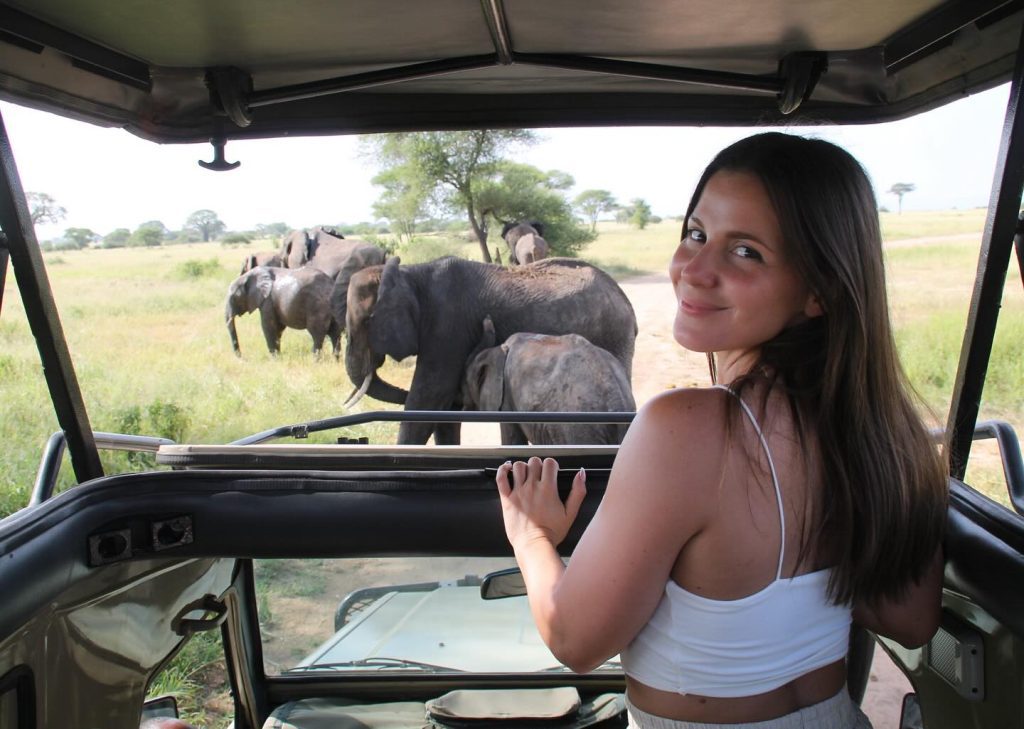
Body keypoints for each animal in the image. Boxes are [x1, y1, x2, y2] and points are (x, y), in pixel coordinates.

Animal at [462, 317, 634, 444]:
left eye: (468, 380)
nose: (487, 318)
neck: (499, 349)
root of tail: (616, 400)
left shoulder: (508, 398)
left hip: (581, 427)